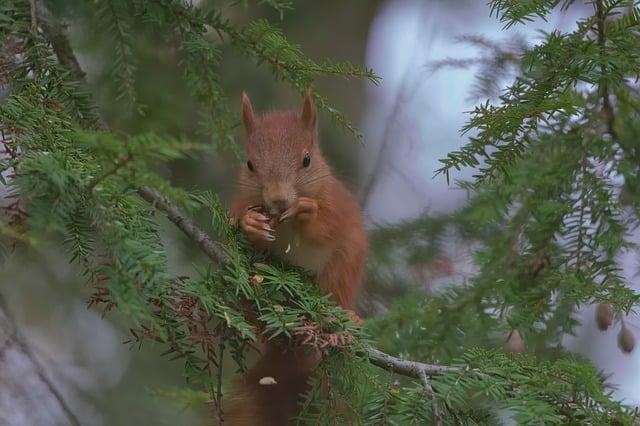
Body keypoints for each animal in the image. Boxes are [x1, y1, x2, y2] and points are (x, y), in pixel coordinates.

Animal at [224, 91, 364, 424]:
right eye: (250, 164)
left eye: (307, 160)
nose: (278, 200)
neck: (283, 222)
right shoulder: (241, 202)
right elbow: (237, 221)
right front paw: (251, 225)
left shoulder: (338, 207)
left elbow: (326, 225)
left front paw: (307, 211)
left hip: (344, 265)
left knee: (337, 291)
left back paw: (347, 320)